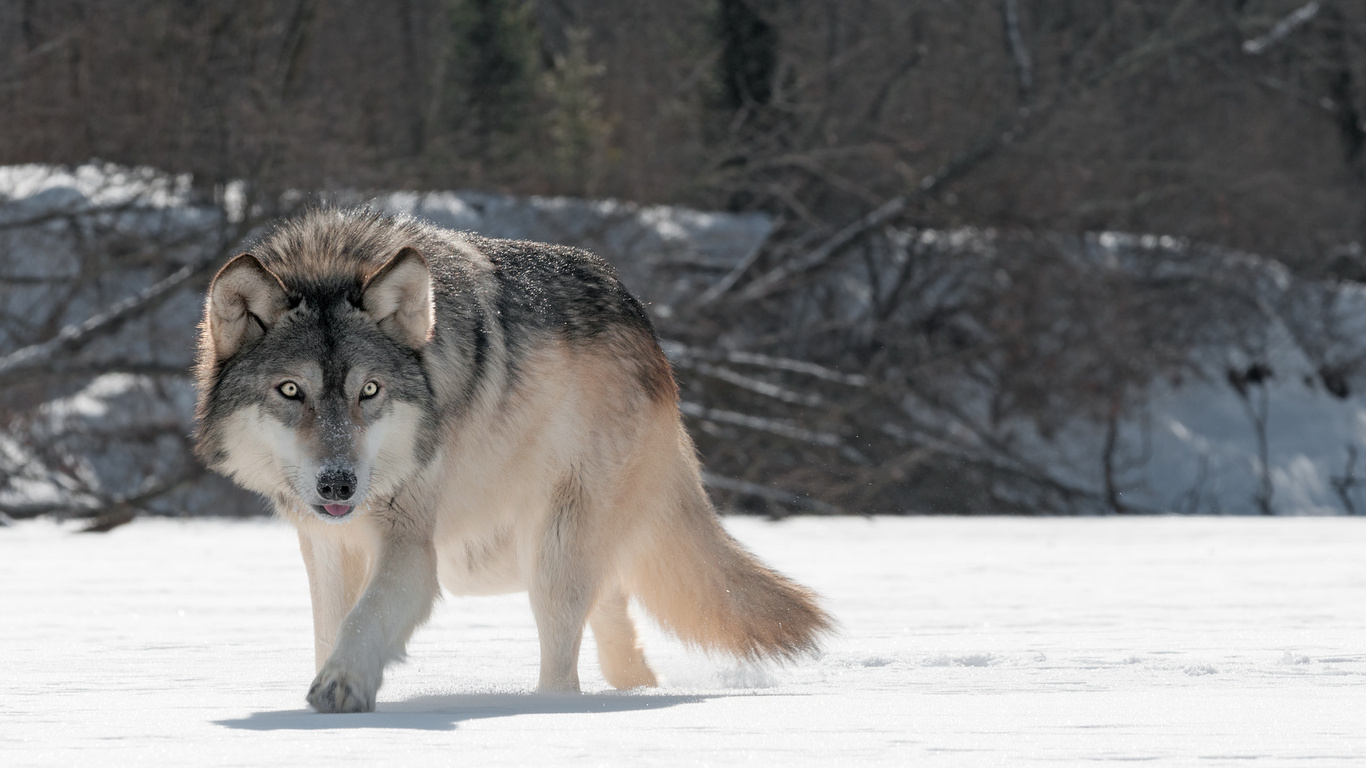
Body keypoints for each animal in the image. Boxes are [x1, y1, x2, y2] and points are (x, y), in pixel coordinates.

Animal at [193, 209, 832, 713]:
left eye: (369, 391)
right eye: (291, 391)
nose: (338, 484)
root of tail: (652, 340)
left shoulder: (410, 546)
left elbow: (365, 618)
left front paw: (341, 685)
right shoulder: (327, 545)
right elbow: (332, 626)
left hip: (545, 551)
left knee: (565, 668)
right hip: (493, 557)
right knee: (615, 615)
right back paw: (634, 691)